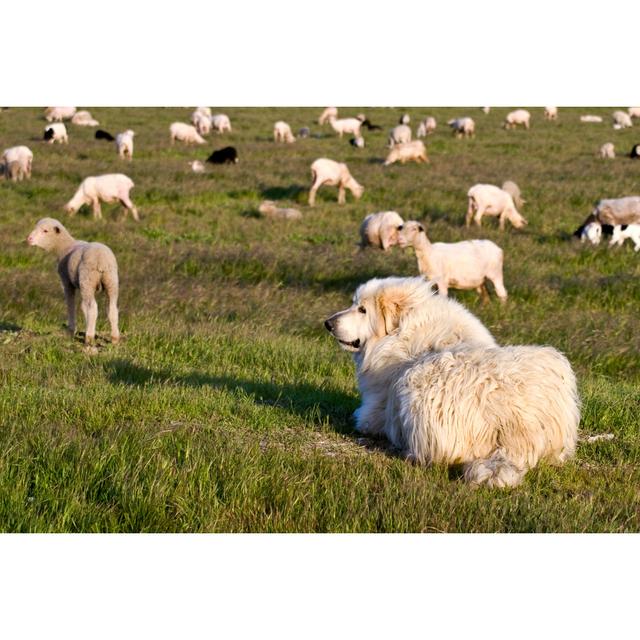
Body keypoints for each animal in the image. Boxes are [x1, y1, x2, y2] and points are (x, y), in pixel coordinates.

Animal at [26, 216, 121, 344]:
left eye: (45, 231)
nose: (29, 239)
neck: (64, 246)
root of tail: (101, 260)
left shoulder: (66, 282)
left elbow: (70, 304)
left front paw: (71, 330)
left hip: (87, 280)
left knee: (92, 308)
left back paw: (89, 337)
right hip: (111, 280)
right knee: (112, 308)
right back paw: (115, 338)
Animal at [324, 276, 580, 490]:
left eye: (362, 310)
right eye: (354, 304)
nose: (328, 323)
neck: (405, 336)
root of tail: (516, 428)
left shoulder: (376, 407)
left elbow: (363, 418)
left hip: (416, 381)